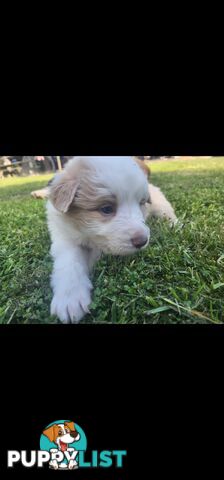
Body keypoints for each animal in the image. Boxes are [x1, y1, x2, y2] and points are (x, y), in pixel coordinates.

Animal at [47, 157, 177, 322]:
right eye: (107, 209)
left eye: (141, 203)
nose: (142, 241)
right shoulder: (64, 237)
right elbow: (70, 261)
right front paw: (70, 298)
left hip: (160, 203)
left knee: (168, 213)